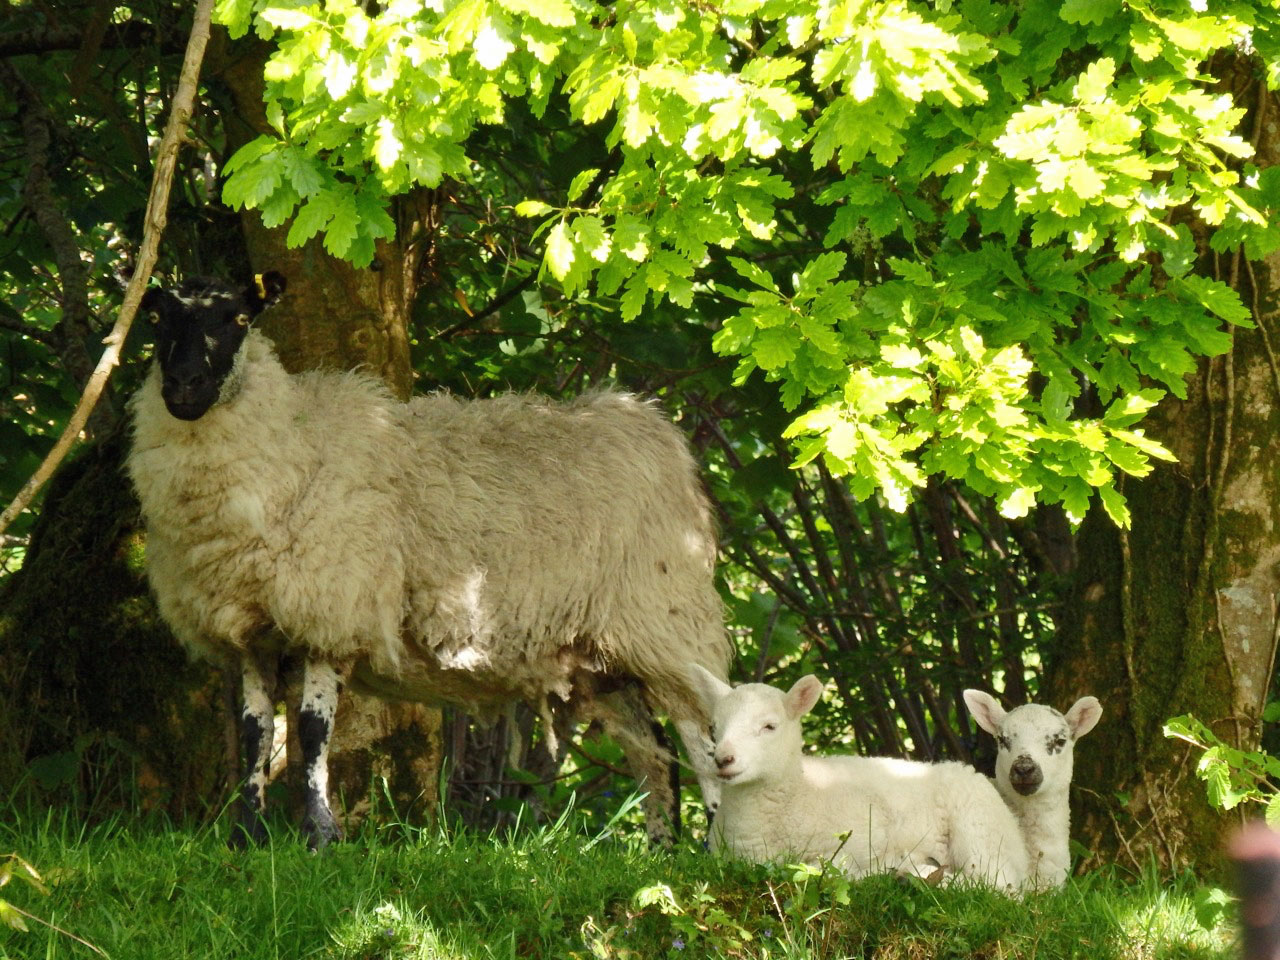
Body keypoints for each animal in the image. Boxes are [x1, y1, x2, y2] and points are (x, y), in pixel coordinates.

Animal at [131, 272, 737, 849]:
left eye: (238, 318)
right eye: (155, 319)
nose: (183, 386)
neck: (293, 445)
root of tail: (657, 430)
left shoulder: (333, 612)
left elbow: (310, 730)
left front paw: (319, 837)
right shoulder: (250, 629)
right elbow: (256, 734)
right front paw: (246, 838)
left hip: (665, 621)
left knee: (704, 743)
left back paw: (717, 851)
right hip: (602, 656)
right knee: (654, 753)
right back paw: (661, 849)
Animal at [691, 670, 1029, 896]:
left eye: (769, 726)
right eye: (714, 727)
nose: (723, 759)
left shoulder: (863, 834)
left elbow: (834, 868)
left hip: (978, 826)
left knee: (996, 882)